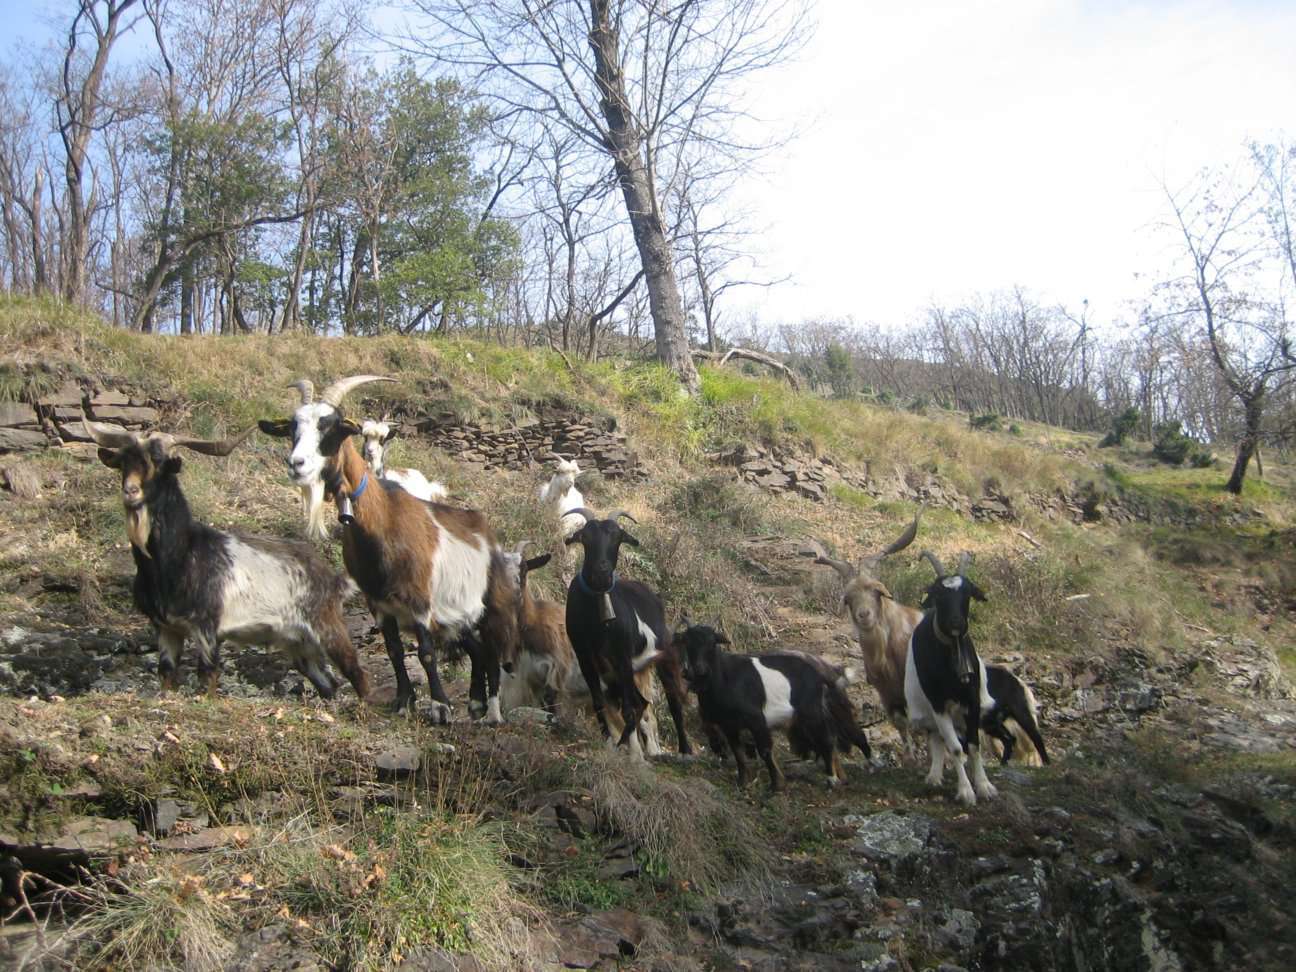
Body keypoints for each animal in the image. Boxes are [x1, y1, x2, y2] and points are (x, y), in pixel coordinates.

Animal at [81, 419, 368, 699]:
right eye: (124, 461)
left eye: (159, 462)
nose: (131, 492)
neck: (178, 555)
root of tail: (332, 578)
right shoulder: (165, 628)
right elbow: (166, 673)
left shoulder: (206, 626)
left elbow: (207, 676)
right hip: (297, 642)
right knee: (328, 684)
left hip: (326, 626)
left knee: (357, 672)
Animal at [257, 375, 515, 725]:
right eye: (292, 428)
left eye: (333, 427)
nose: (297, 465)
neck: (382, 524)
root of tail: (484, 530)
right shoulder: (378, 603)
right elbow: (394, 651)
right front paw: (404, 701)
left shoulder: (419, 601)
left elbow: (426, 653)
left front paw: (440, 707)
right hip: (456, 613)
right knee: (476, 649)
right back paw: (475, 704)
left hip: (488, 606)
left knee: (490, 652)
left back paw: (493, 712)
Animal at [562, 510, 694, 762]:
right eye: (586, 537)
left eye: (617, 537)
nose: (602, 570)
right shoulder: (587, 658)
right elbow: (600, 702)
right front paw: (610, 743)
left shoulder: (622, 658)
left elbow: (629, 709)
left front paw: (632, 752)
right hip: (624, 671)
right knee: (641, 702)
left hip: (662, 658)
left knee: (673, 702)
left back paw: (684, 751)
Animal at [679, 624, 870, 793]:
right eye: (688, 643)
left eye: (712, 643)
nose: (697, 670)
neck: (725, 677)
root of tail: (820, 671)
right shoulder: (729, 725)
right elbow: (738, 752)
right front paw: (742, 782)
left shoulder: (756, 720)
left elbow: (765, 750)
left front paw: (777, 785)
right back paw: (841, 778)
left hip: (816, 712)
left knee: (832, 738)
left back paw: (841, 776)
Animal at [907, 552, 995, 808]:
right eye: (939, 594)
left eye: (967, 593)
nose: (956, 623)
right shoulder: (938, 703)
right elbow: (955, 748)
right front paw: (966, 792)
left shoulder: (973, 700)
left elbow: (974, 745)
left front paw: (984, 786)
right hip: (927, 711)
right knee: (937, 737)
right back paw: (934, 776)